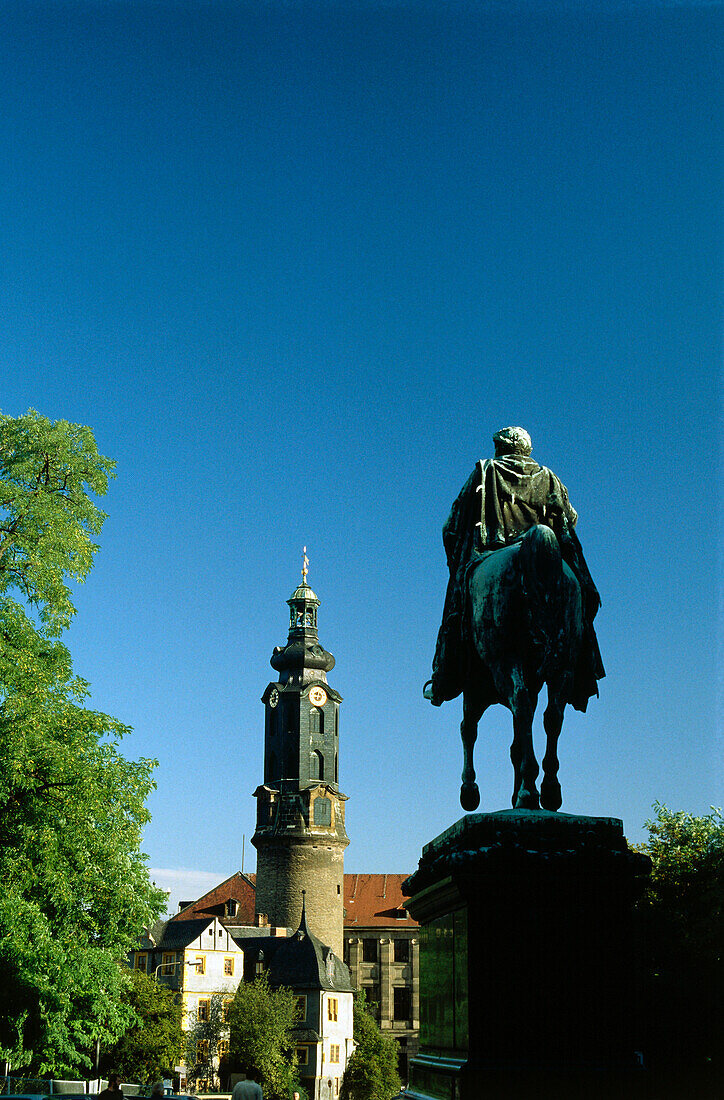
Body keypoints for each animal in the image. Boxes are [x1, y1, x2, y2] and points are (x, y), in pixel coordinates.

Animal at [459, 519, 585, 814]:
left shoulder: (474, 686)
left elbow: (469, 729)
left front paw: (470, 790)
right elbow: (518, 741)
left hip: (503, 660)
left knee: (520, 704)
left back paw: (528, 790)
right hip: (564, 665)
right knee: (552, 716)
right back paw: (548, 790)